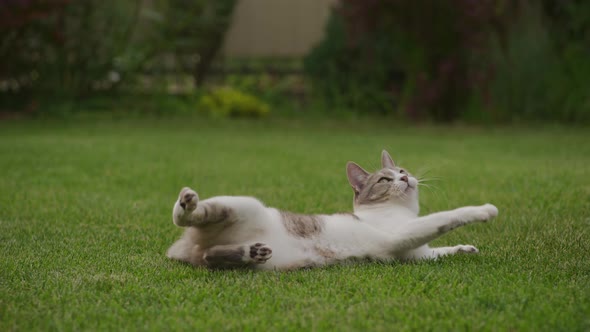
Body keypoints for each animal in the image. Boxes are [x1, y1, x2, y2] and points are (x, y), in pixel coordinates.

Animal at [168, 150, 500, 270]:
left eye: (402, 170)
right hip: (242, 204)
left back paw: (250, 252)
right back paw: (186, 204)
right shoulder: (401, 235)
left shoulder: (416, 254)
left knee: (210, 258)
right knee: (188, 217)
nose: (405, 178)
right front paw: (483, 210)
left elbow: (441, 248)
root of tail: (184, 248)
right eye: (385, 179)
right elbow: (444, 217)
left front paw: (464, 248)